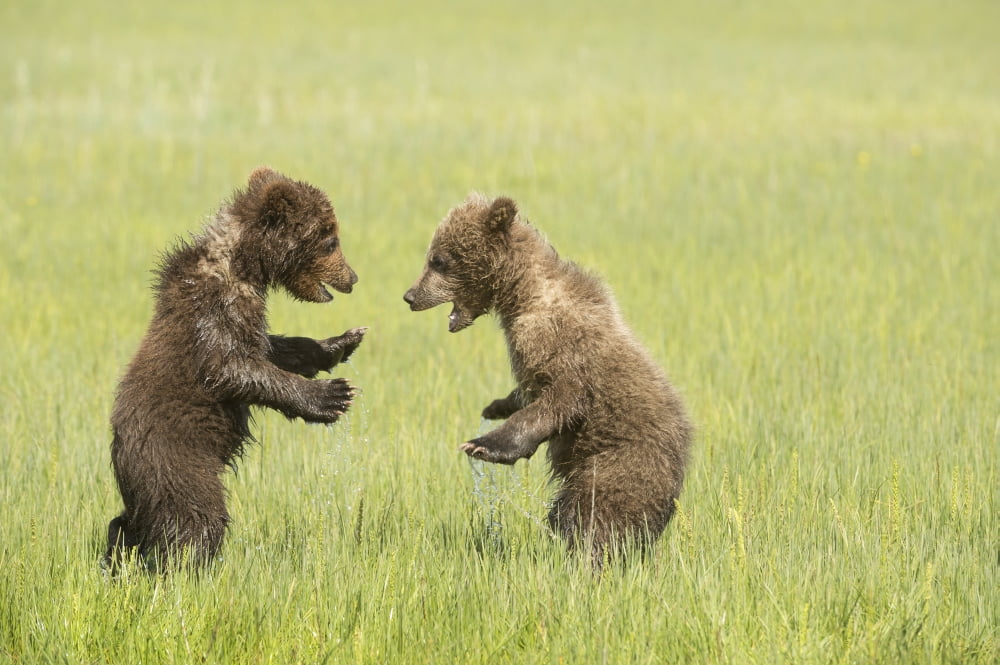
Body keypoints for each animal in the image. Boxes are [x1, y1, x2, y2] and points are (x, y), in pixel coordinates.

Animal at [105, 166, 366, 572]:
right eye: (330, 240)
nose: (352, 277)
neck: (244, 264)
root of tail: (118, 452)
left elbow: (270, 349)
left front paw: (339, 344)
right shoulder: (212, 309)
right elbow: (234, 367)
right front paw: (332, 395)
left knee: (132, 522)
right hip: (173, 457)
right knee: (193, 516)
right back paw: (185, 568)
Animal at [403, 194, 692, 567]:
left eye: (438, 260)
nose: (410, 296)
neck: (521, 295)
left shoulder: (562, 350)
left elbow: (555, 404)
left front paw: (482, 444)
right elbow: (531, 392)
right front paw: (496, 406)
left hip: (620, 462)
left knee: (594, 515)